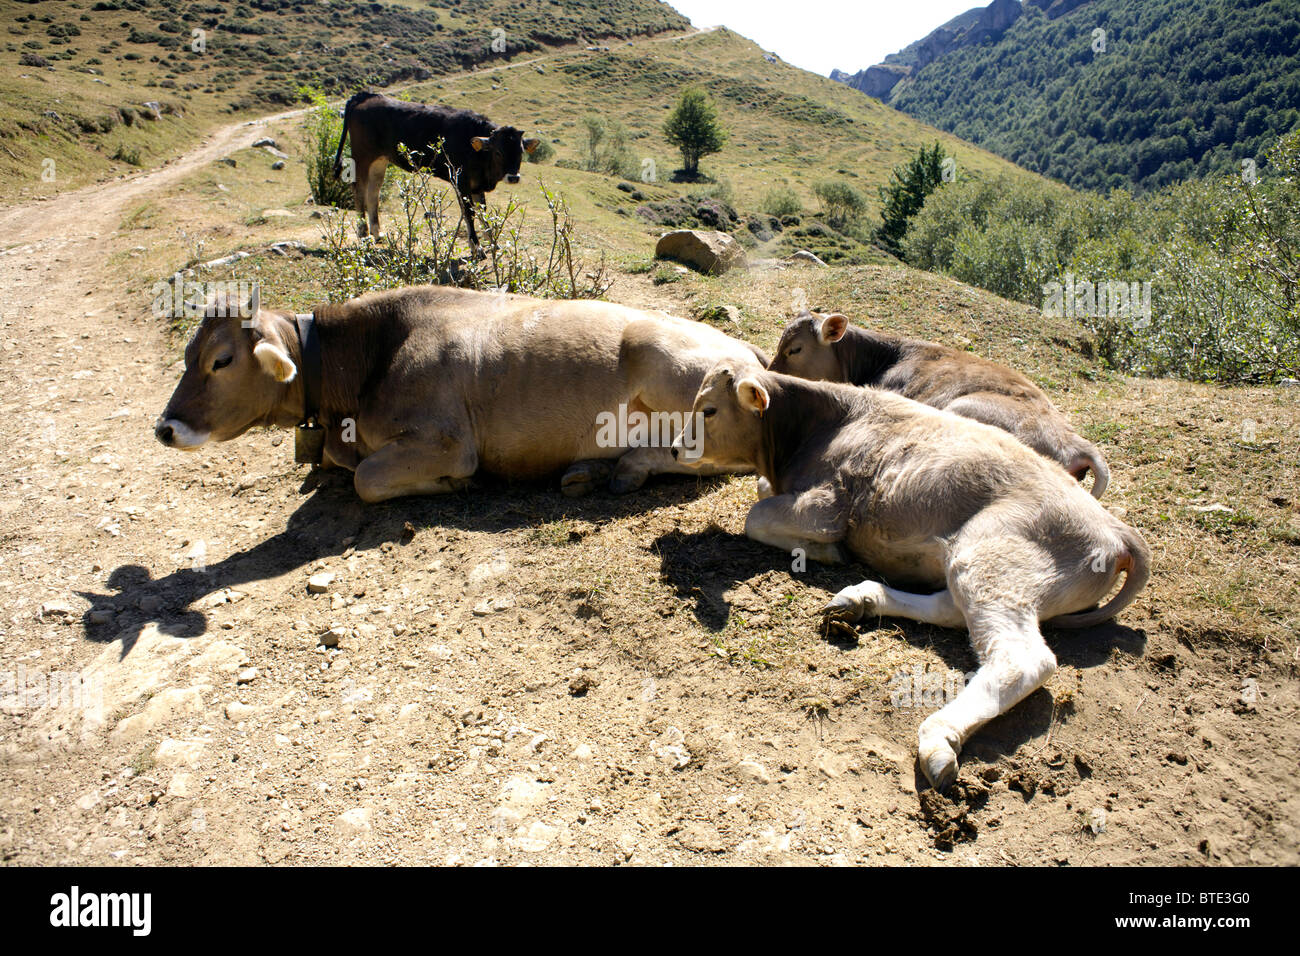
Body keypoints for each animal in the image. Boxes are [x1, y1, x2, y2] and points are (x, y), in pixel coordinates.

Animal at [153, 283, 764, 502]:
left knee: (722, 457)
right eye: (186, 354)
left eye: (220, 360)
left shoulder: (446, 441)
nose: (165, 427)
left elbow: (368, 479)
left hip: (680, 376)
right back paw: (589, 470)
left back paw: (625, 467)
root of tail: (746, 350)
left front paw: (451, 485)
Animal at [335, 89, 543, 252]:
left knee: (373, 192)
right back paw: (363, 234)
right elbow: (469, 213)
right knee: (359, 190)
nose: (513, 177)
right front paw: (477, 248)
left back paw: (377, 233)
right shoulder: (461, 181)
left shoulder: (477, 185)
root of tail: (366, 96)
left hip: (380, 160)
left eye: (521, 152)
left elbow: (483, 212)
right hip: (362, 157)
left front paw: (493, 243)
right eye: (498, 152)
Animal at [670, 361, 1149, 790]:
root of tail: (1115, 527)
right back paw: (861, 600)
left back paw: (937, 738)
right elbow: (760, 496)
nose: (674, 448)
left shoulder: (828, 505)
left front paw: (826, 551)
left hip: (991, 557)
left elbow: (757, 515)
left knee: (1022, 659)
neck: (817, 425)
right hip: (977, 566)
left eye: (709, 410)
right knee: (952, 611)